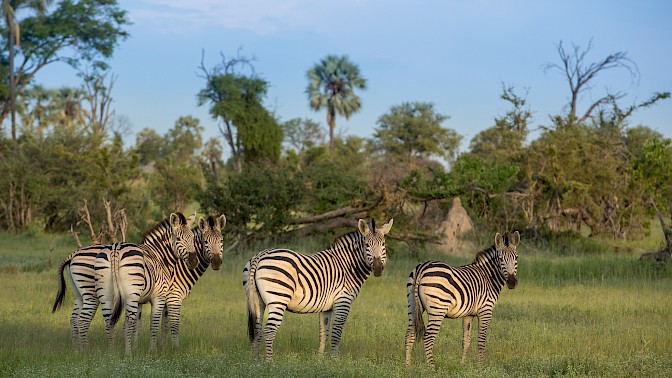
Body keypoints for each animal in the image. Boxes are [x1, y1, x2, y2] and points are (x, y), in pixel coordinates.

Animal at [242, 219, 392, 360]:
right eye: (367, 245)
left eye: (383, 245)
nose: (378, 268)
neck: (348, 266)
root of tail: (259, 256)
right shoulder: (343, 301)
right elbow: (336, 332)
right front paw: (334, 359)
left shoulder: (326, 307)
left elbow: (324, 332)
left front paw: (320, 360)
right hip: (278, 299)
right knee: (269, 330)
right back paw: (269, 362)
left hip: (258, 301)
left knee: (257, 330)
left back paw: (257, 361)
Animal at [404, 230, 520, 366]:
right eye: (501, 259)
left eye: (516, 258)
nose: (512, 282)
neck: (488, 277)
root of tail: (422, 268)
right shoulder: (485, 311)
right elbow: (481, 341)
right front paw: (480, 366)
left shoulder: (468, 314)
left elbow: (466, 341)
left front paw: (463, 365)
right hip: (437, 309)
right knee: (428, 337)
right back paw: (431, 367)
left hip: (413, 304)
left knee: (410, 334)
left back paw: (407, 366)